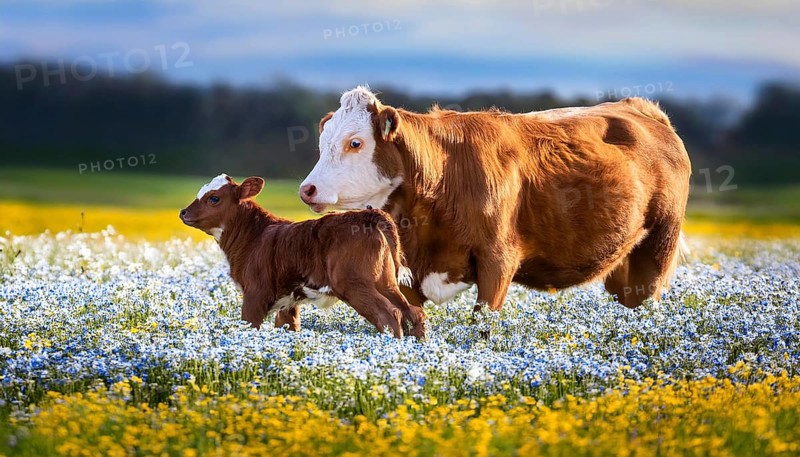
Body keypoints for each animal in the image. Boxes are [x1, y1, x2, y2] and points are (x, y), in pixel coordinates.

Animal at [180, 174, 426, 338]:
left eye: (214, 198)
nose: (183, 212)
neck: (254, 236)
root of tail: (368, 214)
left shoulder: (255, 294)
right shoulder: (288, 302)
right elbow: (289, 327)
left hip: (354, 285)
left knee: (390, 315)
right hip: (386, 282)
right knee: (414, 313)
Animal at [299, 86, 691, 318]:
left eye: (355, 143)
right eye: (321, 144)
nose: (308, 189)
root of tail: (639, 108)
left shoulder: (498, 260)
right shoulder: (407, 273)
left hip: (658, 248)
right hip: (622, 265)